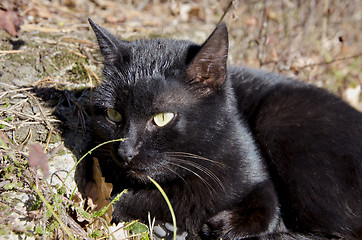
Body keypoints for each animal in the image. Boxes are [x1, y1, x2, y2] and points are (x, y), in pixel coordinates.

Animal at [78, 19, 362, 240]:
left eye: (162, 118)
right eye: (114, 114)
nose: (125, 152)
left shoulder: (257, 178)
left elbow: (266, 210)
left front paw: (218, 226)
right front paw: (166, 226)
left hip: (279, 117)